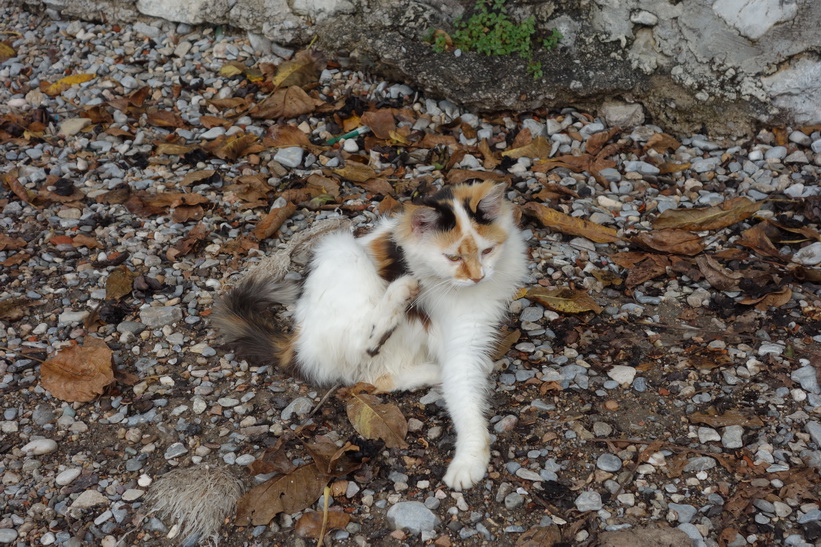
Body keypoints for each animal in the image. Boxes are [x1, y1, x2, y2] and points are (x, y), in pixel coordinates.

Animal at [215, 181, 528, 492]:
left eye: (487, 251)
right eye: (453, 257)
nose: (477, 277)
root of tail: (296, 342)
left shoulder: (468, 333)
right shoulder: (459, 336)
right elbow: (465, 400)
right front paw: (469, 461)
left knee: (375, 377)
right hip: (341, 253)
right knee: (365, 347)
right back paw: (400, 293)